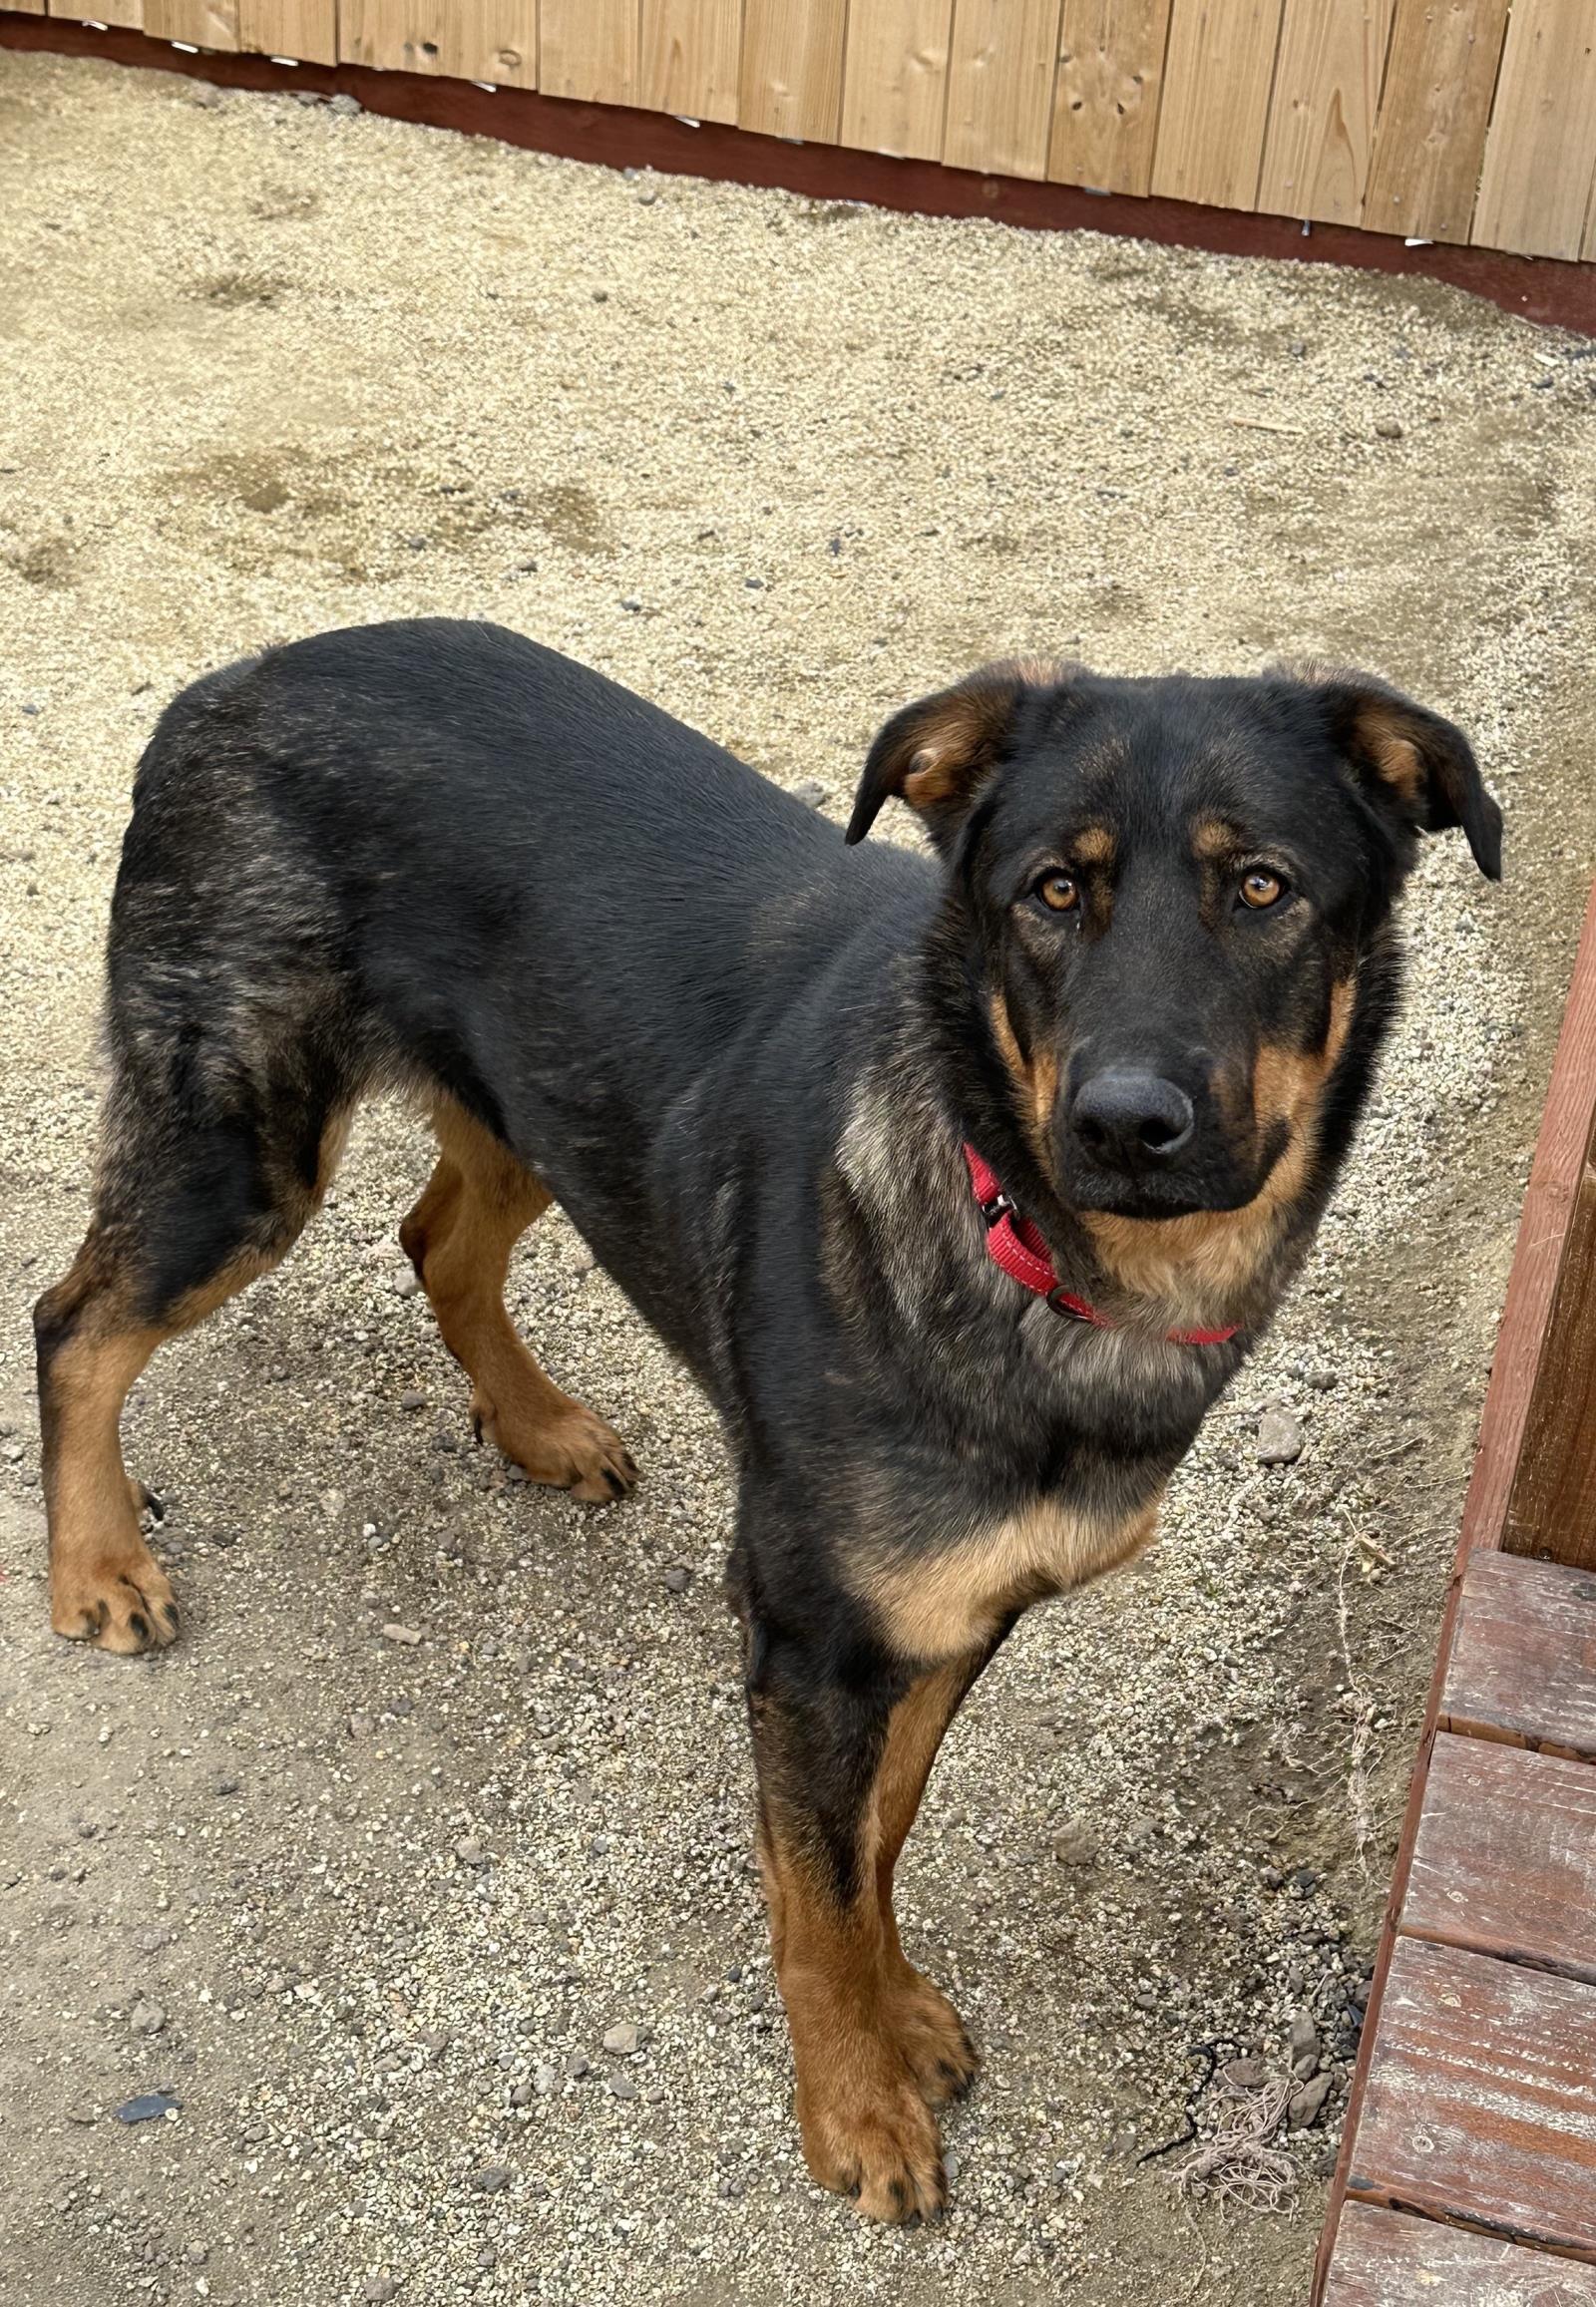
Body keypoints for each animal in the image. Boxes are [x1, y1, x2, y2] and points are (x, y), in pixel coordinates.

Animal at [34, 622, 1494, 2223]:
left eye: (1264, 888)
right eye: (1052, 891)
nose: (1122, 1126)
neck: (1025, 1235)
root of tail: (222, 683)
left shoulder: (937, 1621)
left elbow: (876, 1842)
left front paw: (893, 2010)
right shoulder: (813, 1636)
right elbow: (823, 1881)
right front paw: (853, 2100)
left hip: (531, 1108)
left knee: (439, 1244)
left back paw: (537, 1426)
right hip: (247, 1150)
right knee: (74, 1324)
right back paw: (95, 1562)